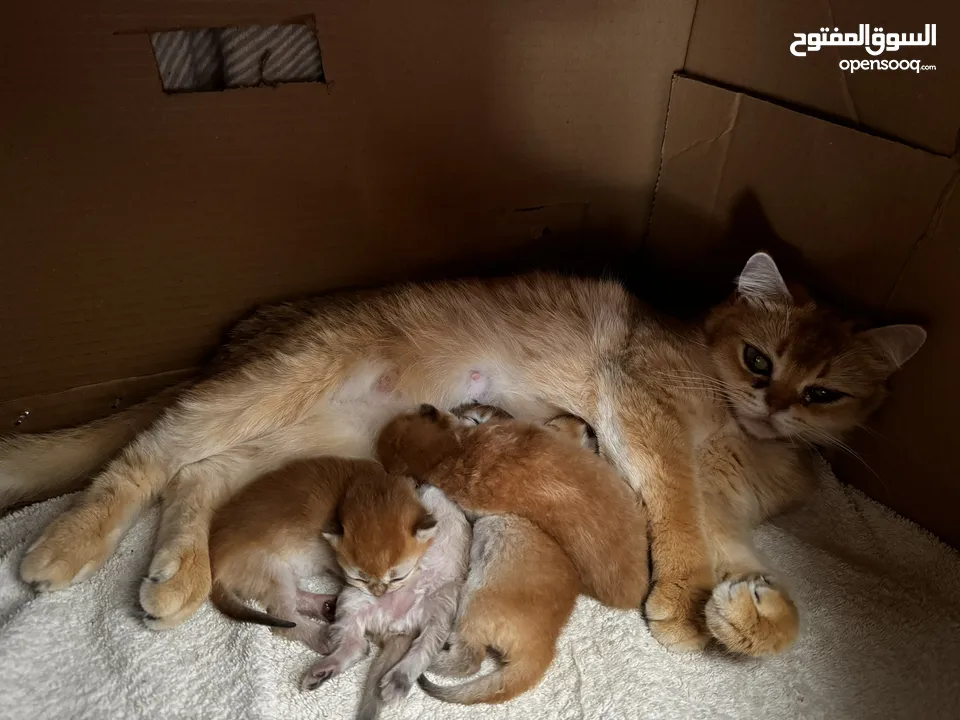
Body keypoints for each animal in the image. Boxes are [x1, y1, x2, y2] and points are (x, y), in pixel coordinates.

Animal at [212, 458, 434, 656]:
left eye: (398, 577)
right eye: (358, 578)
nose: (378, 593)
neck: (361, 485)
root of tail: (214, 568)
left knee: (294, 596)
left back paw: (324, 606)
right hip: (271, 568)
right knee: (283, 616)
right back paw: (321, 636)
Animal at [298, 484, 466, 720]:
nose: (380, 590)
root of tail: (394, 626)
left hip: (443, 604)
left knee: (422, 648)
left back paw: (397, 681)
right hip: (353, 599)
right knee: (358, 646)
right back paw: (323, 672)